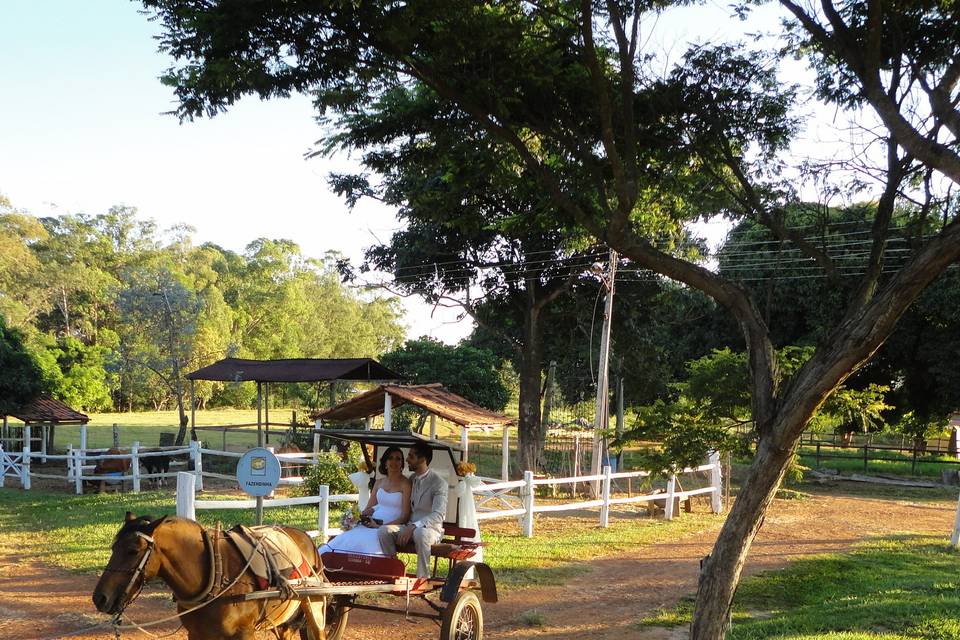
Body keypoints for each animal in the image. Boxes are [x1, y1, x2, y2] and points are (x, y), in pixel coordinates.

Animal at [93, 516, 328, 640]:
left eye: (133, 551)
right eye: (113, 548)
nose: (100, 597)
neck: (215, 575)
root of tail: (306, 537)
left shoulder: (244, 634)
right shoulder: (197, 634)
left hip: (314, 607)